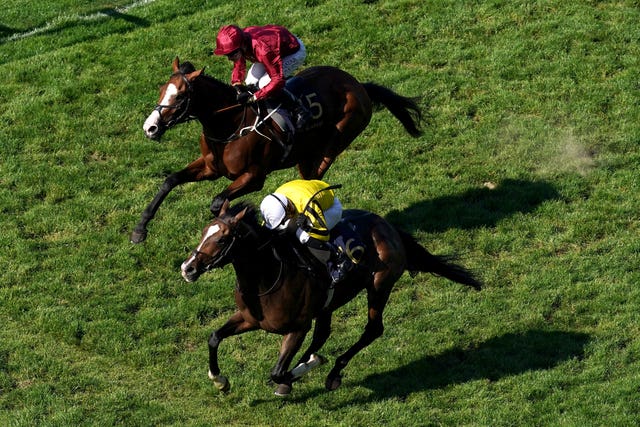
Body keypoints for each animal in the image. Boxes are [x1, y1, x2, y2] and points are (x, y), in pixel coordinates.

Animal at [131, 57, 422, 244]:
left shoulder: (254, 176)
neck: (230, 123)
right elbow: (170, 180)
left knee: (317, 176)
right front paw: (140, 229)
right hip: (306, 154)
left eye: (180, 97)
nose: (150, 128)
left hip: (339, 136)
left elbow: (217, 202)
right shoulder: (211, 167)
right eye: (161, 90)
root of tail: (358, 84)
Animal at [180, 202, 480, 396]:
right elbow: (214, 337)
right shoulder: (249, 318)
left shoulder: (296, 328)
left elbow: (277, 371)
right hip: (328, 305)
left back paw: (333, 372)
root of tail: (388, 226)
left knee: (373, 329)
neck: (267, 275)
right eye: (204, 232)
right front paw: (220, 380)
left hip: (380, 285)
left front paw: (305, 369)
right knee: (324, 333)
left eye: (222, 240)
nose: (188, 268)